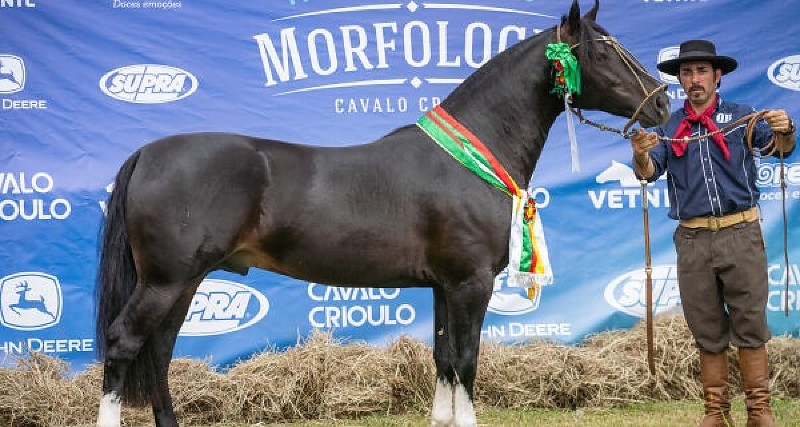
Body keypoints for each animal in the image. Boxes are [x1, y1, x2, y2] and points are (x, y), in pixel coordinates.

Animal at [95, 1, 670, 426]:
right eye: (603, 52)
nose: (663, 104)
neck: (468, 155)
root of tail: (148, 152)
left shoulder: (443, 286)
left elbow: (443, 360)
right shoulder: (470, 283)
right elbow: (466, 361)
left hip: (183, 281)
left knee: (159, 350)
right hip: (166, 281)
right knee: (125, 343)